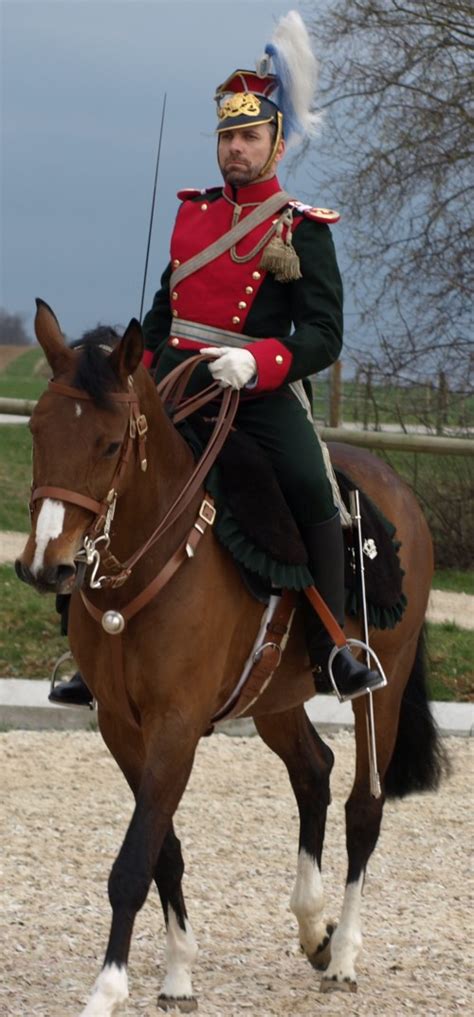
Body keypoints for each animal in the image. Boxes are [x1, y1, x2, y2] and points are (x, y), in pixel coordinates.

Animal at [15, 303, 443, 1016]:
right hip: (275, 695)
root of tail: (395, 484)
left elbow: (134, 860)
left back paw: (343, 954)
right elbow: (163, 850)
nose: (47, 567)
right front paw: (178, 973)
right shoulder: (121, 728)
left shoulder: (177, 725)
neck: (151, 560)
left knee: (364, 808)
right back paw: (312, 925)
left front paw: (107, 988)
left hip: (382, 684)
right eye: (38, 431)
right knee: (313, 771)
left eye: (110, 445)